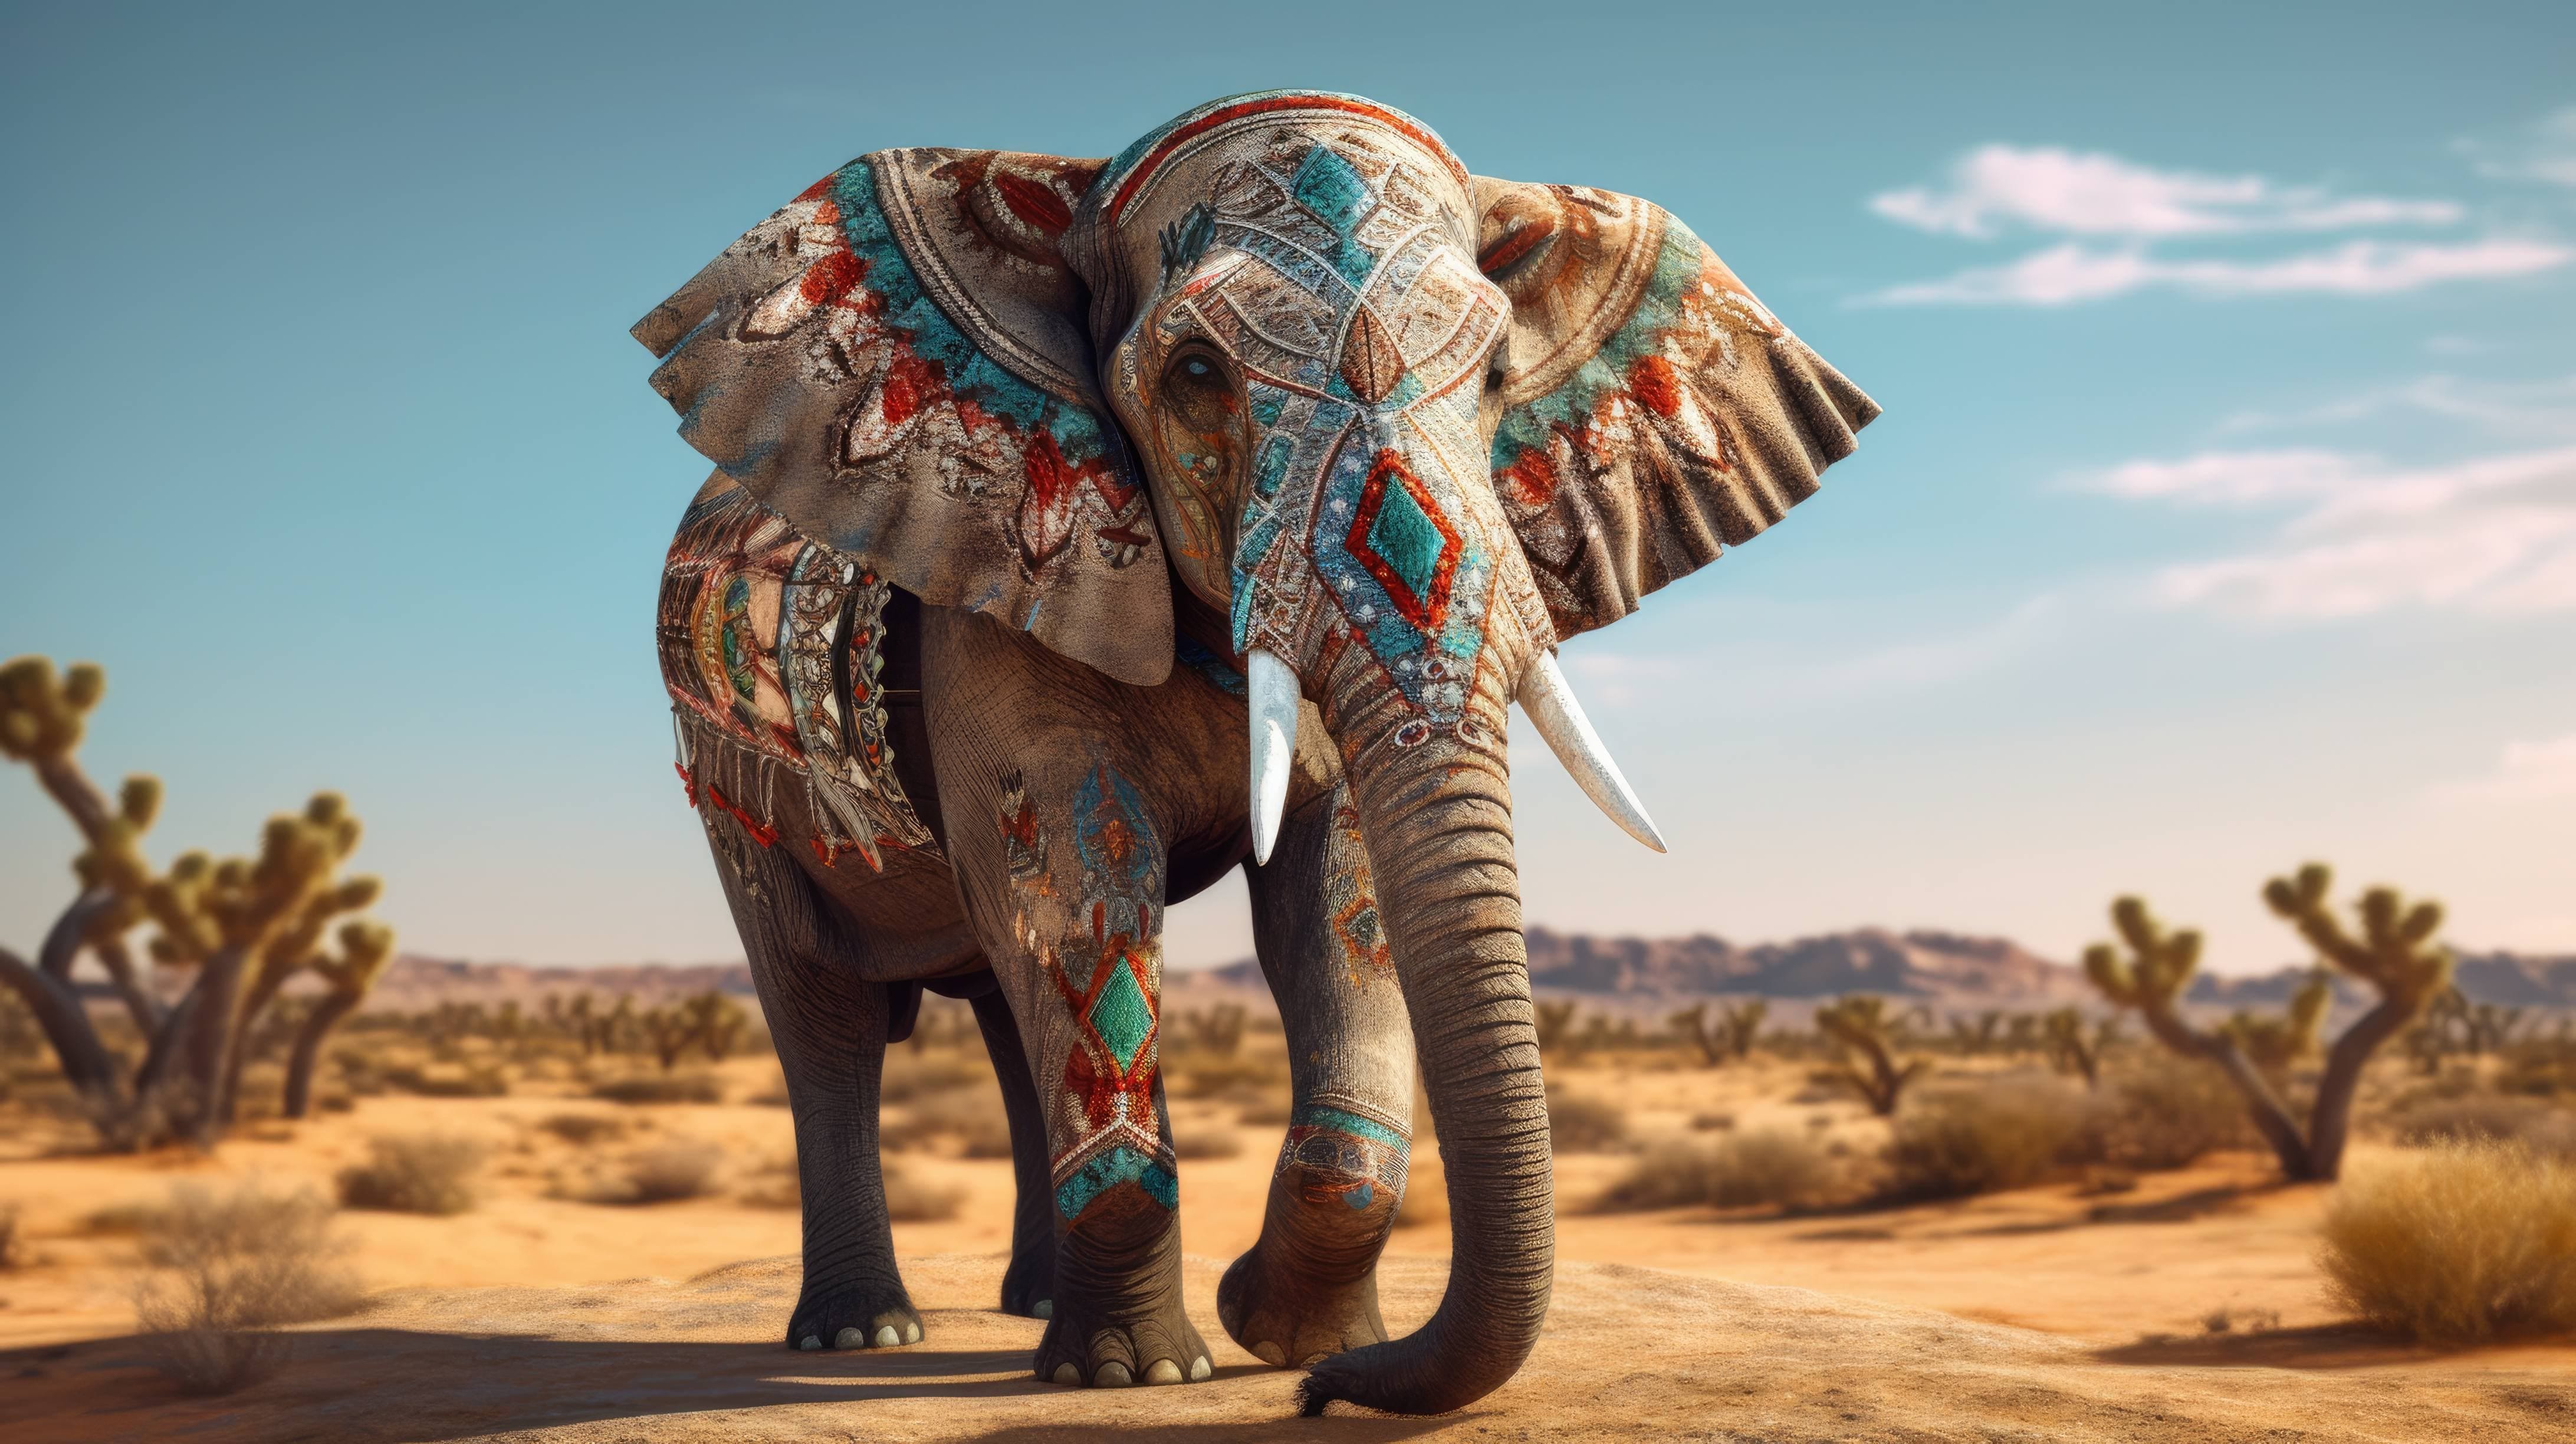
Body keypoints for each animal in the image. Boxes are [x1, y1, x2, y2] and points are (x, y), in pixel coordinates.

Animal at [633, 90, 1878, 1415]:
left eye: (1498, 374)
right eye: (1193, 372)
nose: (1327, 1397)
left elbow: (1338, 903)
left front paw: (1288, 1337)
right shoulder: (1001, 590)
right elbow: (1079, 884)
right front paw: (1146, 1373)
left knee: (1004, 1007)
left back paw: (1026, 1309)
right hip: (731, 788)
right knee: (828, 1016)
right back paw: (866, 1335)